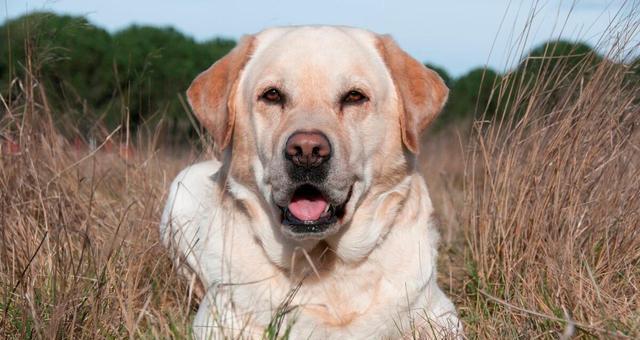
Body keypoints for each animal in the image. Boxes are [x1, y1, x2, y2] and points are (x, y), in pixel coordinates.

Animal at [160, 25, 460, 338]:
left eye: (354, 97)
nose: (306, 151)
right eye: (272, 95)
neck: (322, 262)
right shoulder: (219, 322)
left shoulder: (440, 317)